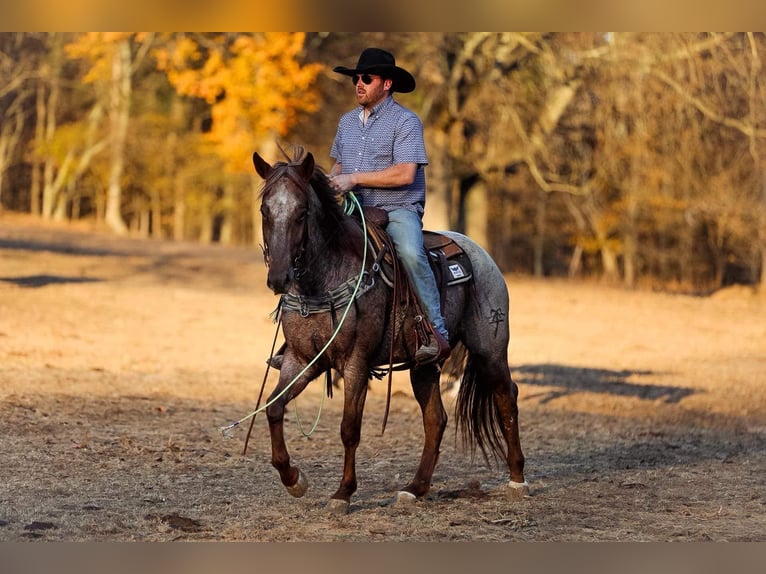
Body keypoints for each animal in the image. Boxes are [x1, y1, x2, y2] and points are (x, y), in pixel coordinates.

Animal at [252, 147, 527, 514]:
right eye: (265, 211)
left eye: (302, 212)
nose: (279, 278)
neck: (322, 282)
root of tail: (482, 256)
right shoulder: (301, 360)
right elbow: (273, 408)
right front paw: (294, 479)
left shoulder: (356, 363)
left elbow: (349, 428)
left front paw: (343, 493)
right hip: (425, 365)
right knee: (435, 419)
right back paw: (415, 488)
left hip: (490, 348)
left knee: (506, 397)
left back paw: (517, 480)